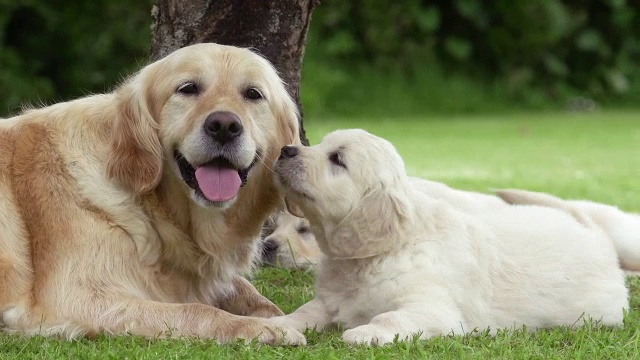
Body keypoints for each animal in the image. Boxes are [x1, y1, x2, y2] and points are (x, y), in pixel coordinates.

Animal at [0, 42, 308, 344]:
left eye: (253, 94)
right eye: (188, 88)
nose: (224, 126)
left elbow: (249, 292)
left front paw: (282, 317)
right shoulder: (75, 297)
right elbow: (197, 310)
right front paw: (262, 327)